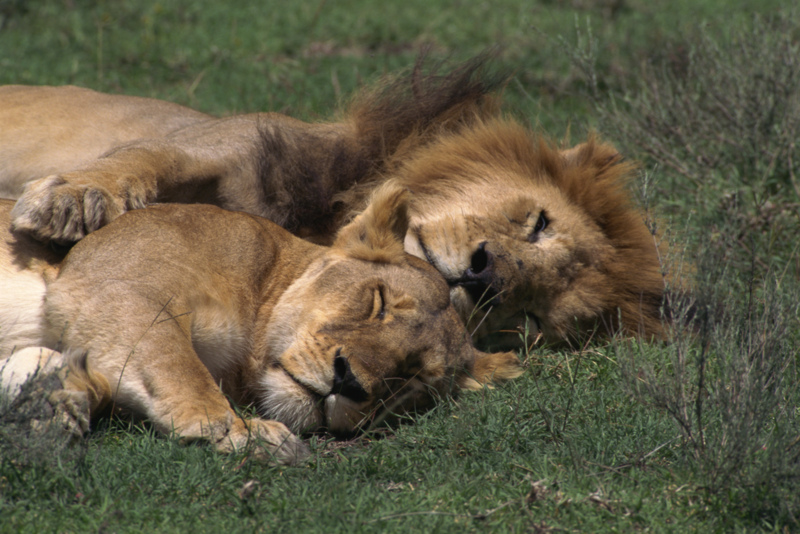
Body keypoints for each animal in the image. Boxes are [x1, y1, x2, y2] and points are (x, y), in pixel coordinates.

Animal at [0, 56, 665, 346]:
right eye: (537, 223)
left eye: (530, 319)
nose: (486, 280)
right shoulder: (222, 140)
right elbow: (143, 159)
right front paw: (69, 200)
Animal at [0, 186, 523, 465]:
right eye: (378, 303)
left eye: (414, 379)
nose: (348, 382)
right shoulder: (116, 286)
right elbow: (177, 364)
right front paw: (242, 432)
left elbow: (61, 370)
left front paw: (50, 407)